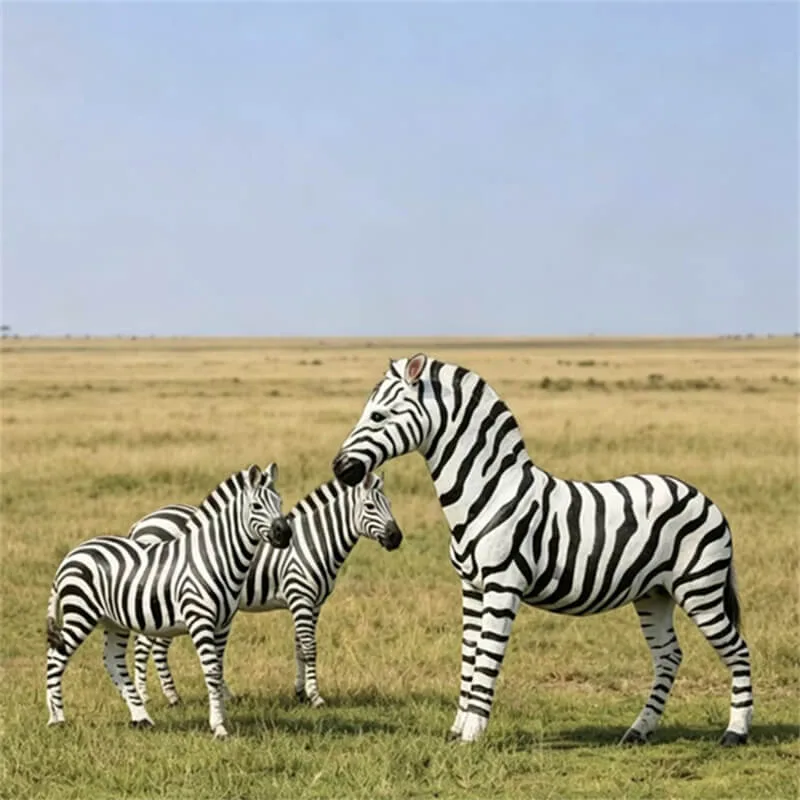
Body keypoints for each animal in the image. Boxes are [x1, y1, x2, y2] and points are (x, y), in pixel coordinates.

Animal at [45, 463, 292, 738]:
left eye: (280, 502)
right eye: (256, 506)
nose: (285, 534)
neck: (213, 557)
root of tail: (71, 555)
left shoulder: (223, 623)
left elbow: (218, 670)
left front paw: (223, 716)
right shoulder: (200, 619)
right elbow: (211, 671)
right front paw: (218, 727)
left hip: (113, 621)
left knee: (112, 661)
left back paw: (141, 717)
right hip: (80, 614)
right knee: (55, 657)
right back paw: (57, 719)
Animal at [129, 471, 403, 708]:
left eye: (390, 503)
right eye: (370, 506)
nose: (396, 538)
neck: (315, 541)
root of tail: (142, 523)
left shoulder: (313, 604)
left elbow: (300, 647)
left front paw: (300, 693)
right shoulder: (300, 597)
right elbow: (310, 647)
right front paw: (315, 697)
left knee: (158, 648)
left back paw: (174, 696)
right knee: (144, 647)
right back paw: (146, 696)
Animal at [331, 353, 752, 746]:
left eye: (379, 415)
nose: (339, 468)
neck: (487, 492)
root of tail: (703, 496)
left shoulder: (503, 587)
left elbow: (487, 657)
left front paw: (473, 735)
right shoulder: (471, 587)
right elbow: (469, 655)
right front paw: (457, 728)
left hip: (699, 589)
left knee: (738, 650)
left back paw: (736, 731)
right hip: (655, 594)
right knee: (669, 657)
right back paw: (639, 729)